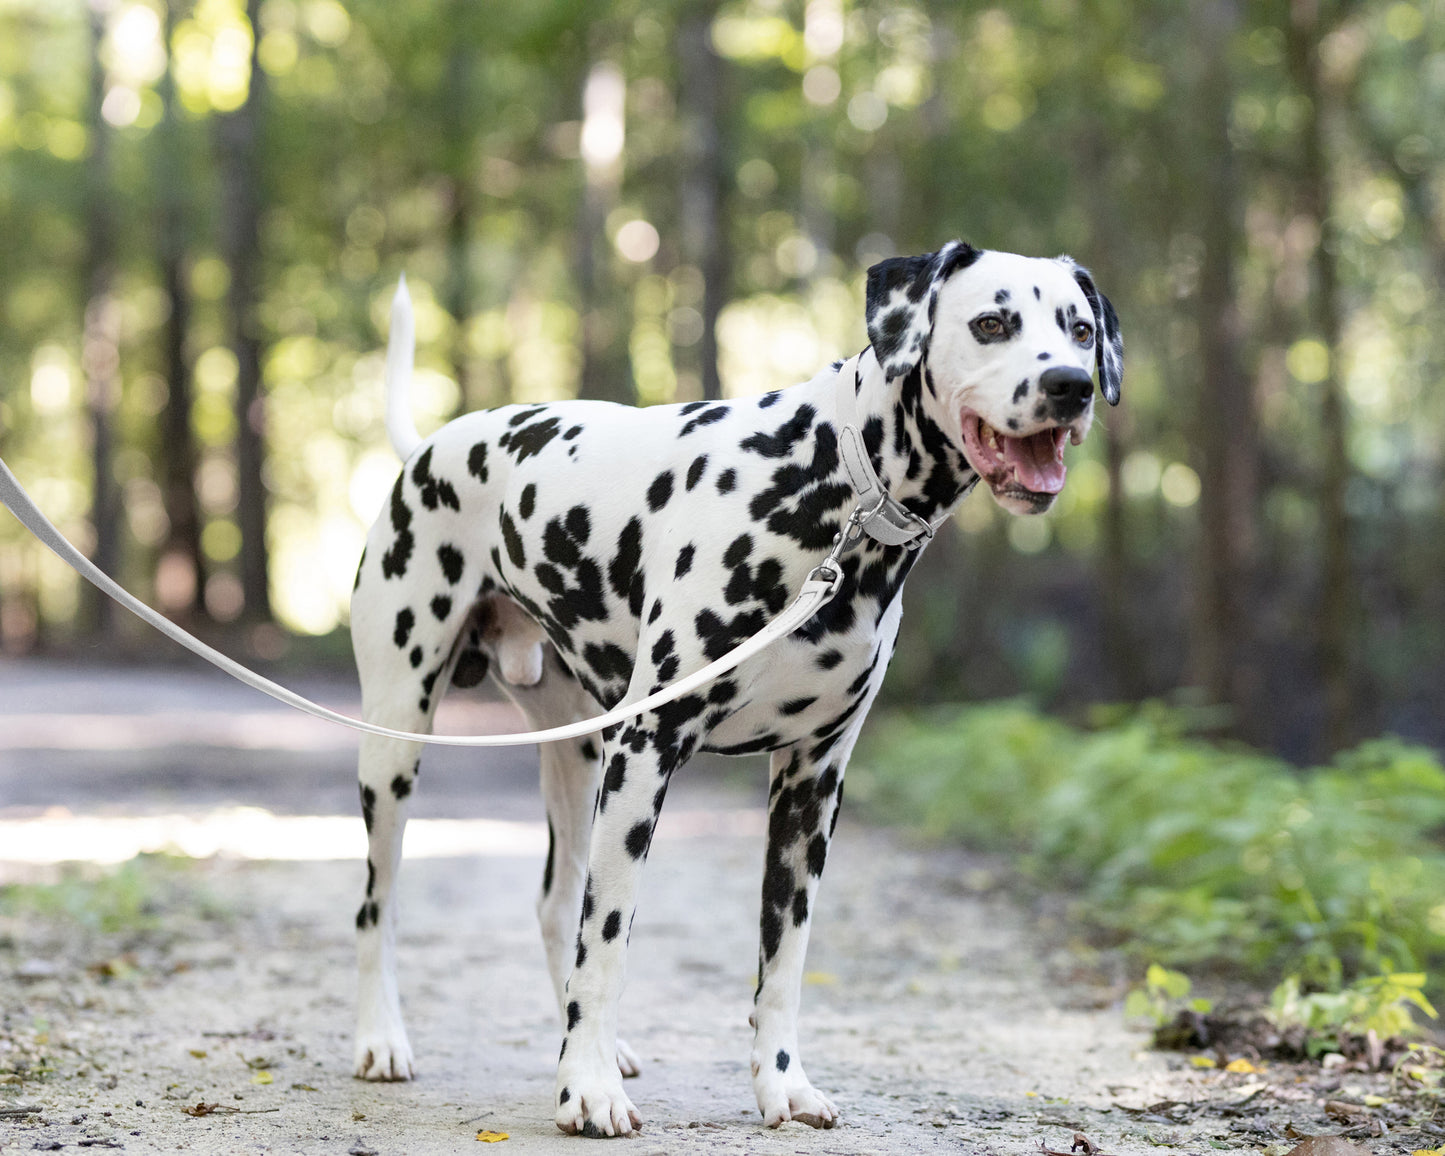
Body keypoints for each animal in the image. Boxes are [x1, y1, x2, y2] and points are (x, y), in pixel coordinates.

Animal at [346, 241, 1115, 1138]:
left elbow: (782, 961)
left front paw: (781, 1086)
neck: (833, 486)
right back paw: (383, 1039)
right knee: (380, 905)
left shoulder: (810, 786)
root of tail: (431, 447)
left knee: (555, 904)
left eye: (1080, 328)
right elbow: (609, 940)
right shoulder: (645, 756)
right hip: (397, 748)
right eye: (991, 322)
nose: (1070, 384)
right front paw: (586, 1092)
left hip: (575, 758)